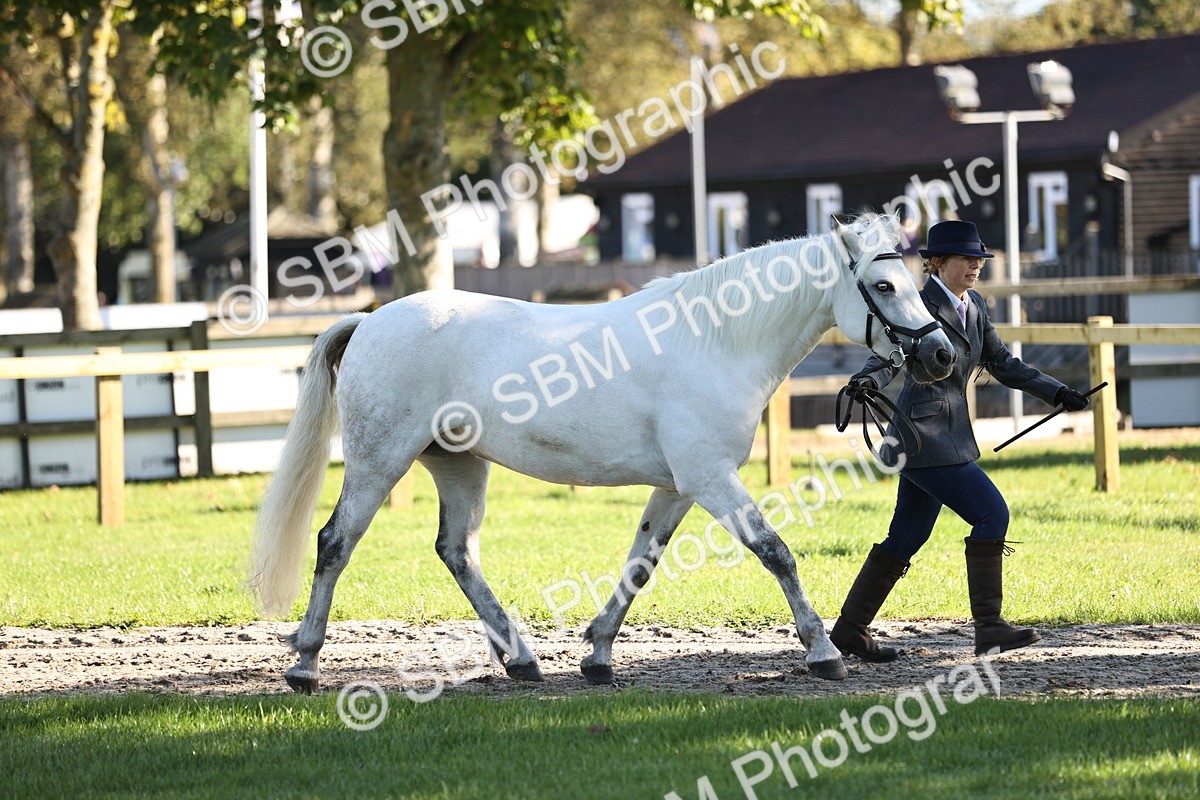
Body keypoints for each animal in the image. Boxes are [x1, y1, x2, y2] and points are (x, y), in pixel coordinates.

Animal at [250, 212, 955, 693]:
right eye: (884, 285)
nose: (941, 353)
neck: (715, 340)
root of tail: (369, 320)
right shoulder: (710, 478)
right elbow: (775, 551)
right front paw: (823, 654)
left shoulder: (677, 486)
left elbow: (641, 562)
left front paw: (596, 655)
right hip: (379, 461)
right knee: (335, 543)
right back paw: (305, 664)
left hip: (459, 465)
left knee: (457, 551)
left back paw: (522, 660)